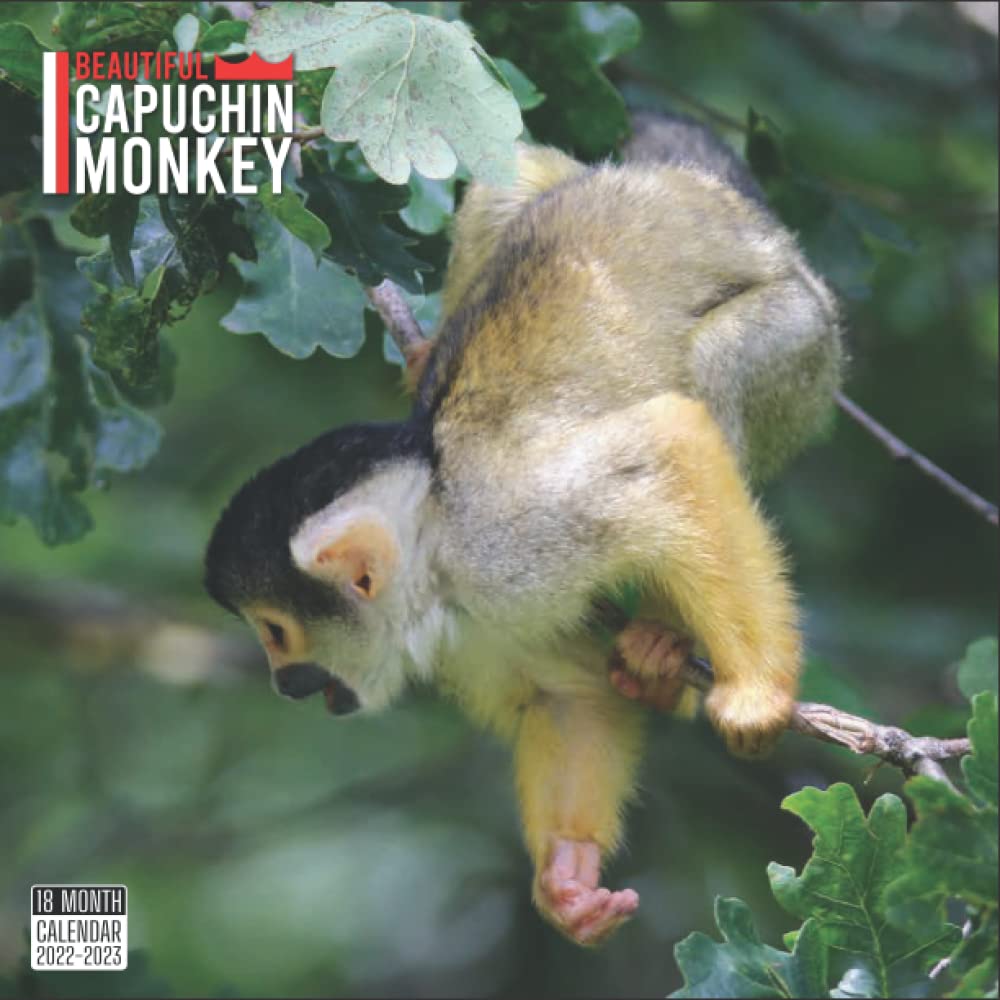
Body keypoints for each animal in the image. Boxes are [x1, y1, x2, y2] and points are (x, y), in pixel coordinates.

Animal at [204, 112, 842, 946]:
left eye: (277, 634)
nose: (283, 682)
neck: (438, 546)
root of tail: (750, 222)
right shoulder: (486, 623)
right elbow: (568, 693)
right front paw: (567, 875)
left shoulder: (506, 542)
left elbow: (666, 447)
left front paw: (759, 690)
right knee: (509, 173)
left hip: (805, 340)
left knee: (718, 364)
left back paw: (666, 638)